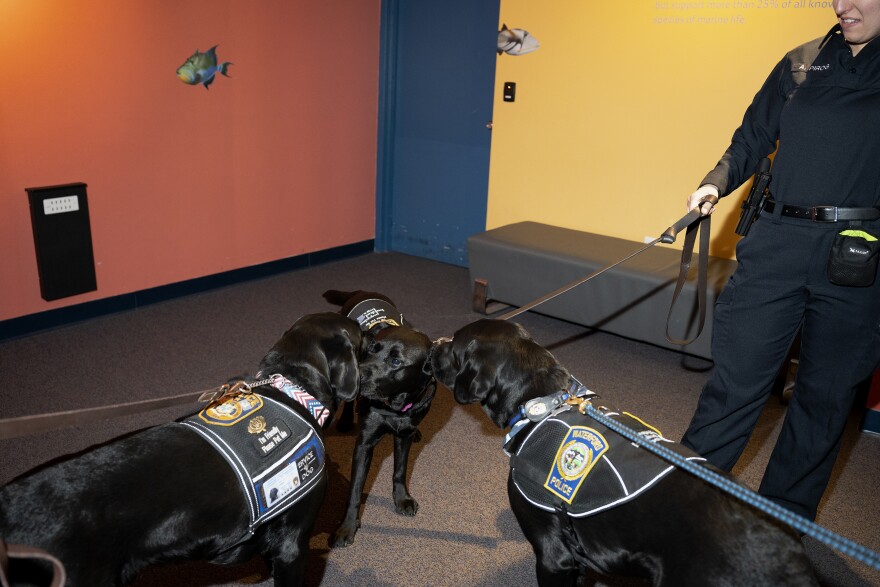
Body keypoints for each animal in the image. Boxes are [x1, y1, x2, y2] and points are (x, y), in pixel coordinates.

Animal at [322, 290, 434, 548]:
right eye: (372, 349)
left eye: (396, 361)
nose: (358, 376)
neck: (394, 405)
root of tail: (360, 292)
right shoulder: (365, 443)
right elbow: (354, 491)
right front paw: (346, 527)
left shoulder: (403, 434)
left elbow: (400, 470)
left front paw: (402, 499)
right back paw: (345, 420)